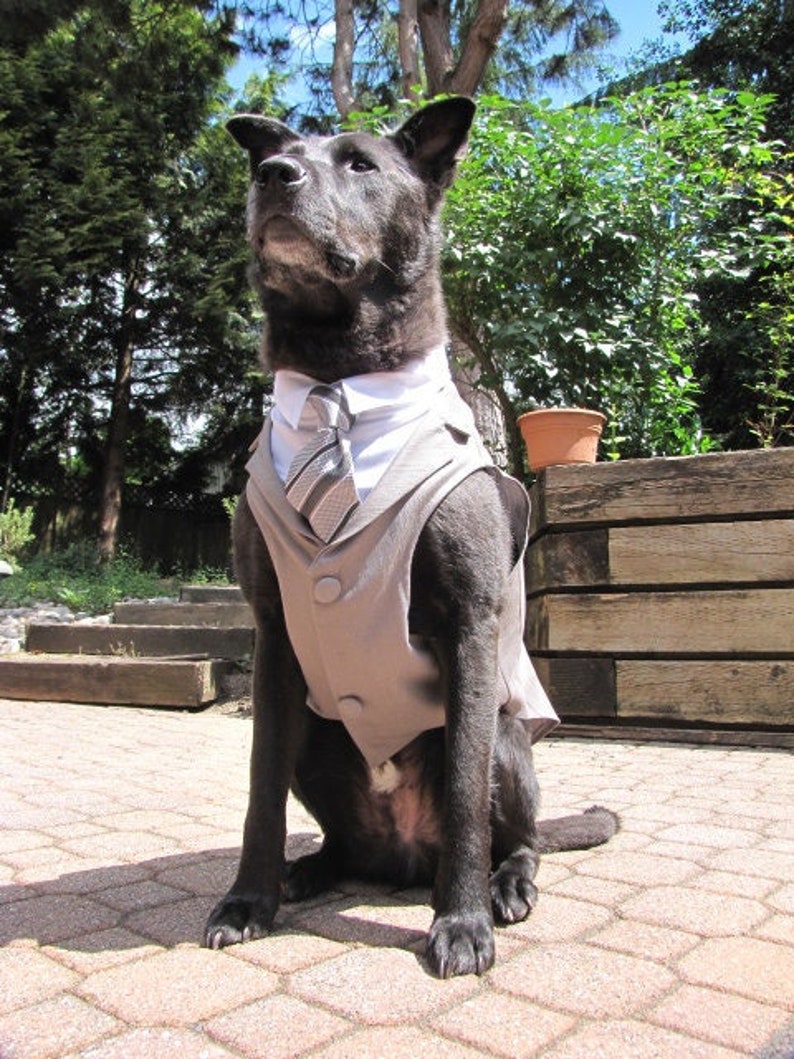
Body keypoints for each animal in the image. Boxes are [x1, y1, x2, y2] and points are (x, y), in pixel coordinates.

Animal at [206, 99, 622, 974]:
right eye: (282, 153)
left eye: (360, 163)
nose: (272, 176)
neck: (339, 377)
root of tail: (400, 858)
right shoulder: (272, 637)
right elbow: (258, 788)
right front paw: (248, 898)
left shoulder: (468, 625)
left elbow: (464, 793)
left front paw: (460, 920)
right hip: (316, 731)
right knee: (334, 836)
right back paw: (307, 870)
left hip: (506, 737)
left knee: (520, 836)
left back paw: (502, 885)